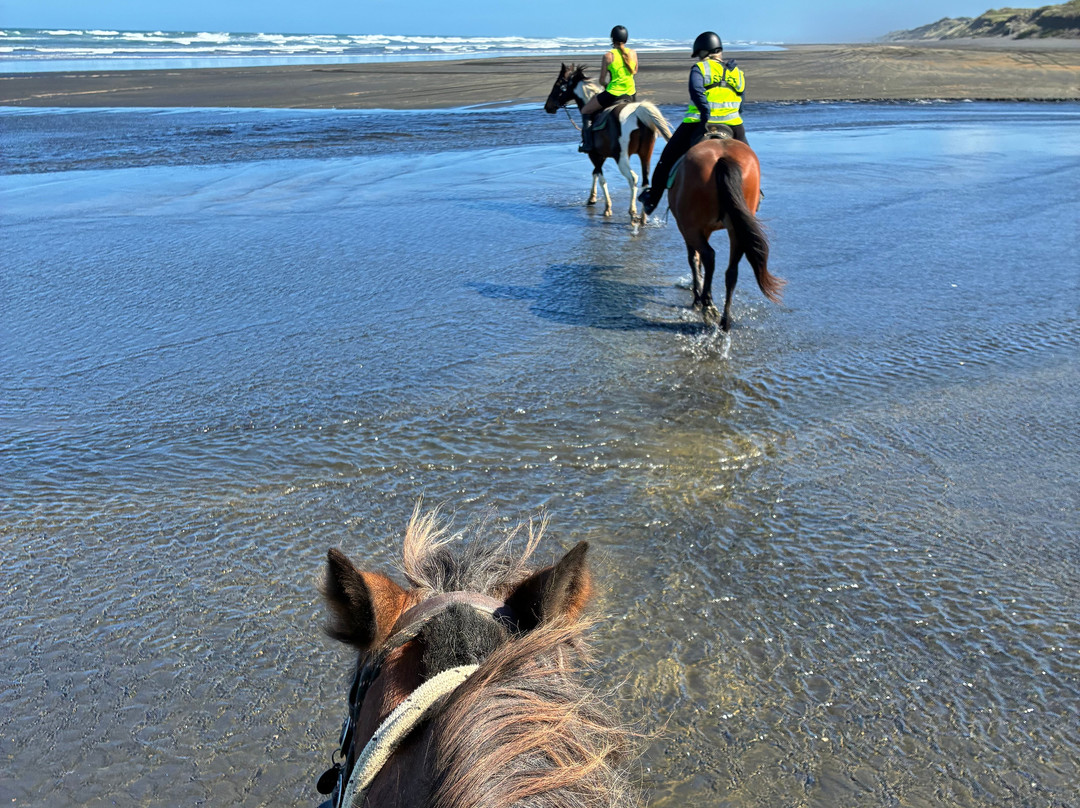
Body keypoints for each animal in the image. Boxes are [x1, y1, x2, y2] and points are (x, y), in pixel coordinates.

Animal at [544, 63, 671, 224]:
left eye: (558, 84)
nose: (547, 106)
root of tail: (638, 113)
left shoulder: (594, 154)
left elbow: (601, 178)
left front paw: (607, 208)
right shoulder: (601, 155)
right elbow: (595, 174)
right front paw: (591, 198)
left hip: (621, 158)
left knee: (633, 178)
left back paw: (632, 212)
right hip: (645, 155)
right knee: (645, 181)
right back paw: (643, 217)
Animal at [669, 131, 785, 330]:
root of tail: (723, 158)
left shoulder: (687, 228)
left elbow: (694, 259)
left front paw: (697, 297)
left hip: (692, 227)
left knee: (709, 255)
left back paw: (707, 304)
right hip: (736, 228)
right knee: (731, 272)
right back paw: (725, 320)